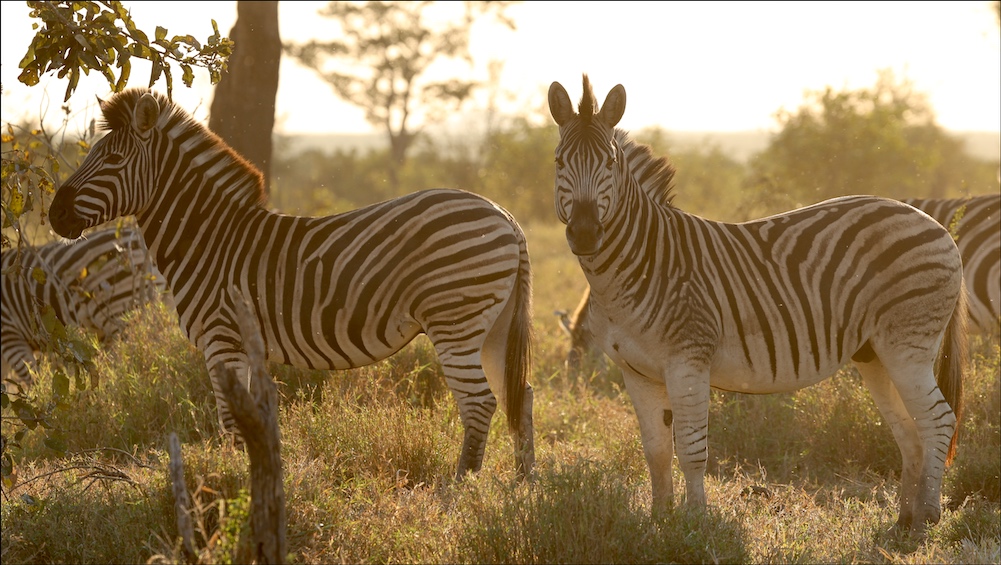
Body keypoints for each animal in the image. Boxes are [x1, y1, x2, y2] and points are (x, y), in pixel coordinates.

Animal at [46, 88, 535, 480]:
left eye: (113, 160)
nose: (54, 214)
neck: (210, 239)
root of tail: (506, 217)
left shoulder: (221, 338)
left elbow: (230, 421)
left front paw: (235, 486)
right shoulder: (243, 347)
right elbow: (248, 419)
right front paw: (251, 477)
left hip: (455, 319)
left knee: (479, 403)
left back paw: (457, 490)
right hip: (493, 326)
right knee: (520, 394)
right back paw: (522, 484)